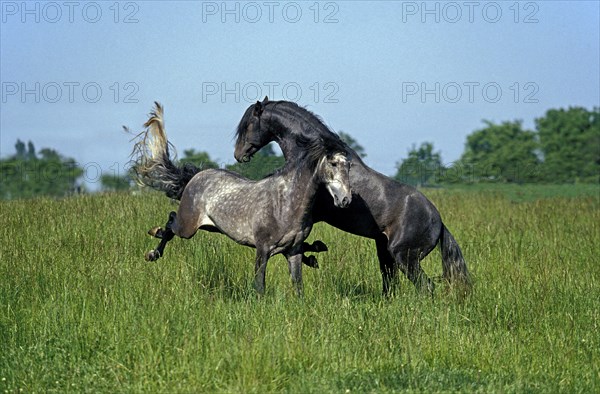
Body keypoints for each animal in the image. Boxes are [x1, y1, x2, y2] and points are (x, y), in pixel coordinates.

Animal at [127, 103, 352, 294]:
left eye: (348, 166)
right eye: (333, 163)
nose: (345, 200)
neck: (286, 202)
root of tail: (196, 176)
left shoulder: (293, 250)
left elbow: (298, 287)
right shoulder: (262, 249)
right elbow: (259, 286)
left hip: (211, 227)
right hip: (187, 227)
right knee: (171, 222)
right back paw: (152, 249)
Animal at [232, 98, 472, 296]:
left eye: (248, 125)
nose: (238, 155)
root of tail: (438, 222)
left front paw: (313, 255)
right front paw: (314, 253)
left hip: (405, 256)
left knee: (425, 287)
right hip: (385, 251)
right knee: (391, 285)